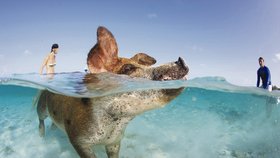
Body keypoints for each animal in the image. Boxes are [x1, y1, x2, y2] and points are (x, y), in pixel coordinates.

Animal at [36, 26, 189, 157]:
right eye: (128, 69)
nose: (180, 60)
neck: (114, 124)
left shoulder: (115, 141)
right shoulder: (78, 139)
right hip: (42, 104)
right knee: (41, 117)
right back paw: (42, 136)